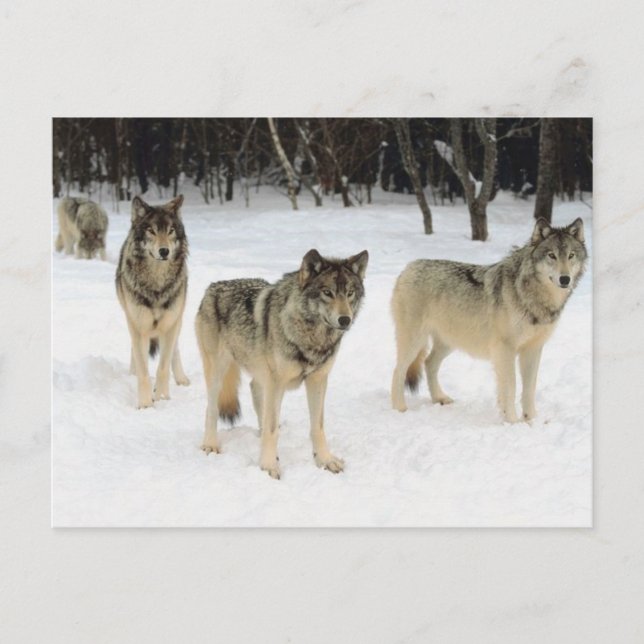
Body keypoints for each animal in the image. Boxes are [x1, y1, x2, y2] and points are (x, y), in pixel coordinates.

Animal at [115, 195, 190, 409]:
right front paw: (146, 404)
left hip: (177, 319)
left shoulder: (170, 324)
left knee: (174, 350)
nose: (164, 251)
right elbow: (143, 369)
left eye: (170, 230)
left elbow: (163, 367)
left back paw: (181, 379)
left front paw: (163, 398)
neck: (157, 284)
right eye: (152, 231)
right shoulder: (138, 324)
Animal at [195, 248, 369, 479]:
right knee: (211, 409)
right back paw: (210, 445)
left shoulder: (317, 380)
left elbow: (317, 427)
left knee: (256, 394)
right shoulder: (277, 383)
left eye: (349, 293)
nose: (345, 320)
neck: (311, 338)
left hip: (261, 376)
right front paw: (269, 466)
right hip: (218, 373)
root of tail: (212, 287)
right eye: (327, 292)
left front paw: (325, 460)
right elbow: (272, 430)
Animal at [391, 217, 587, 423]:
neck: (531, 295)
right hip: (415, 341)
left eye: (571, 255)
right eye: (552, 255)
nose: (565, 279)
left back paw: (440, 398)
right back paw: (400, 408)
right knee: (398, 370)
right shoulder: (505, 349)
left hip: (449, 343)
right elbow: (511, 387)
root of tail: (409, 267)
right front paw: (512, 421)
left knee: (428, 363)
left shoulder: (533, 349)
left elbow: (529, 388)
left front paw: (531, 420)